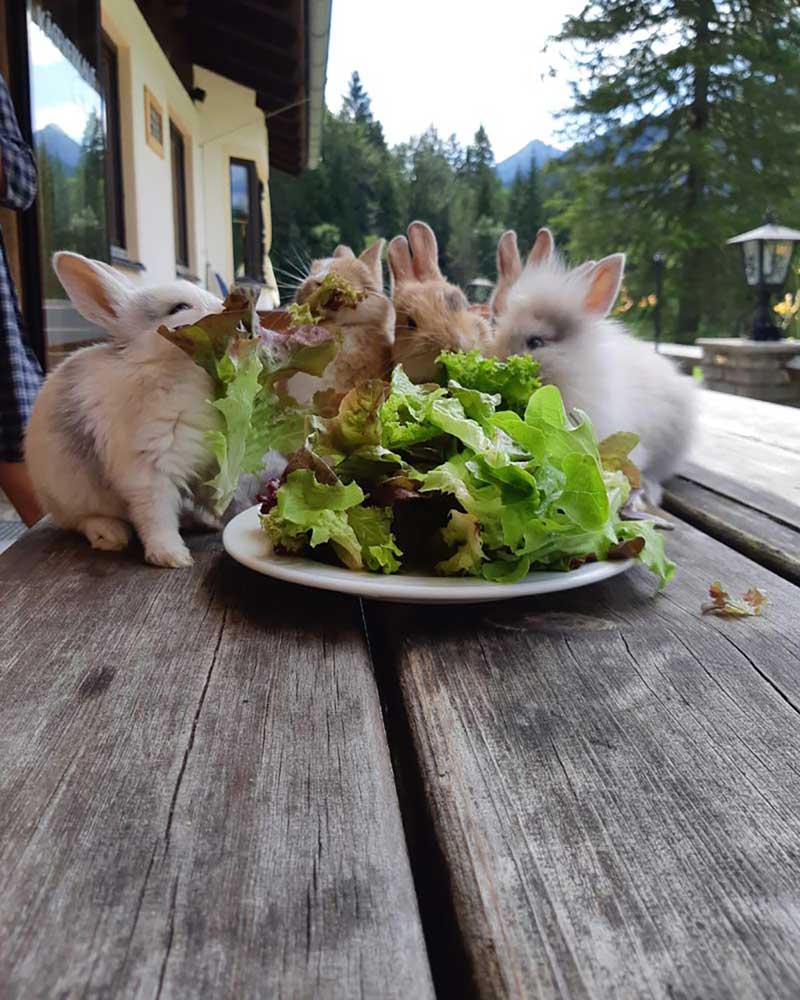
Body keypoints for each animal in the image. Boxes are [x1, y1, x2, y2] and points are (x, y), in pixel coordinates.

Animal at [25, 254, 223, 568]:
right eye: (179, 308)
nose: (225, 307)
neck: (164, 369)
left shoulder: (206, 465)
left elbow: (207, 494)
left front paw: (213, 519)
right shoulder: (149, 469)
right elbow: (156, 516)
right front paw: (172, 557)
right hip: (70, 497)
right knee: (80, 521)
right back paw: (110, 535)